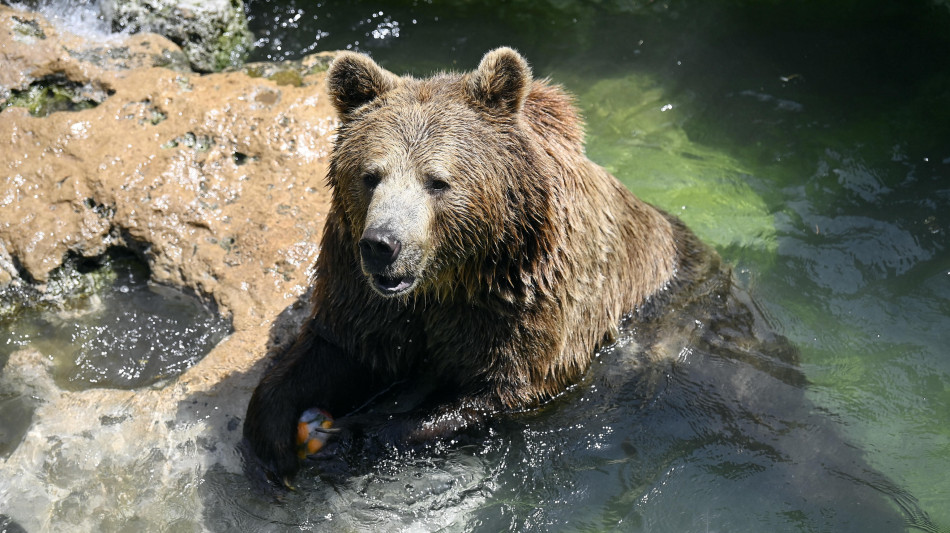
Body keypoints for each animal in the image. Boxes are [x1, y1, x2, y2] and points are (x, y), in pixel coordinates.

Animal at [242, 47, 715, 485]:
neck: (451, 277)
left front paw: (351, 435)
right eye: (370, 176)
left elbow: (504, 388)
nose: (383, 244)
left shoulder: (528, 293)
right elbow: (340, 347)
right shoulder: (357, 282)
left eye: (437, 181)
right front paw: (273, 442)